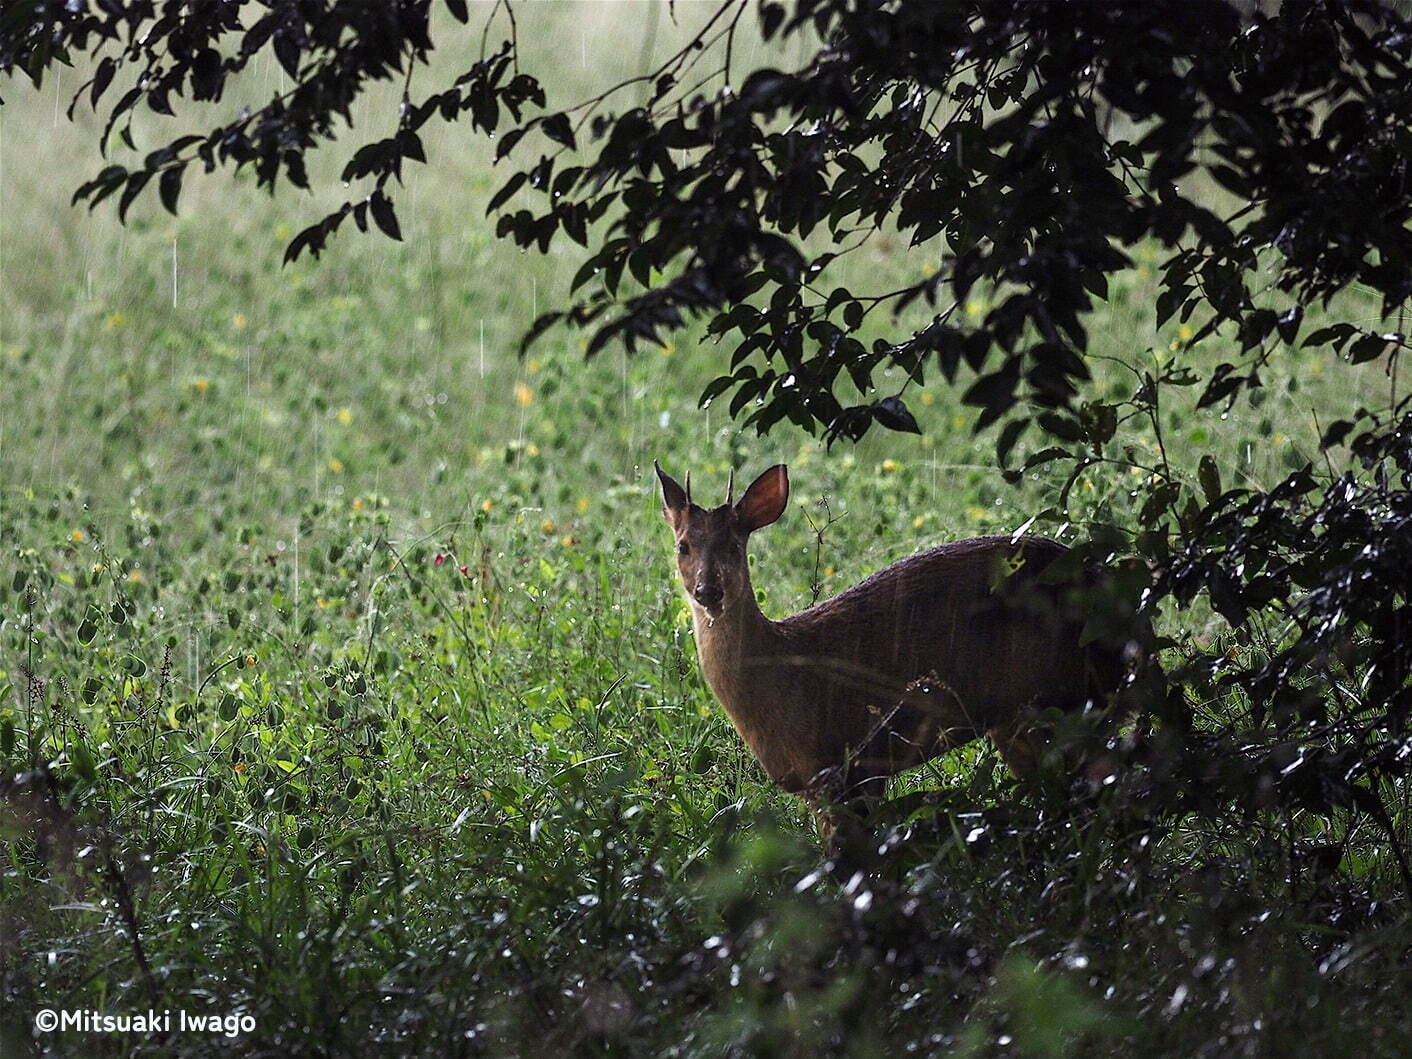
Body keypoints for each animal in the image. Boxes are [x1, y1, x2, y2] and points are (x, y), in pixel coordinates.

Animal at [655, 463, 1152, 835]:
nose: (708, 591)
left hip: (1062, 698)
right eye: (683, 545)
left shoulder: (845, 766)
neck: (782, 672)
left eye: (734, 544)